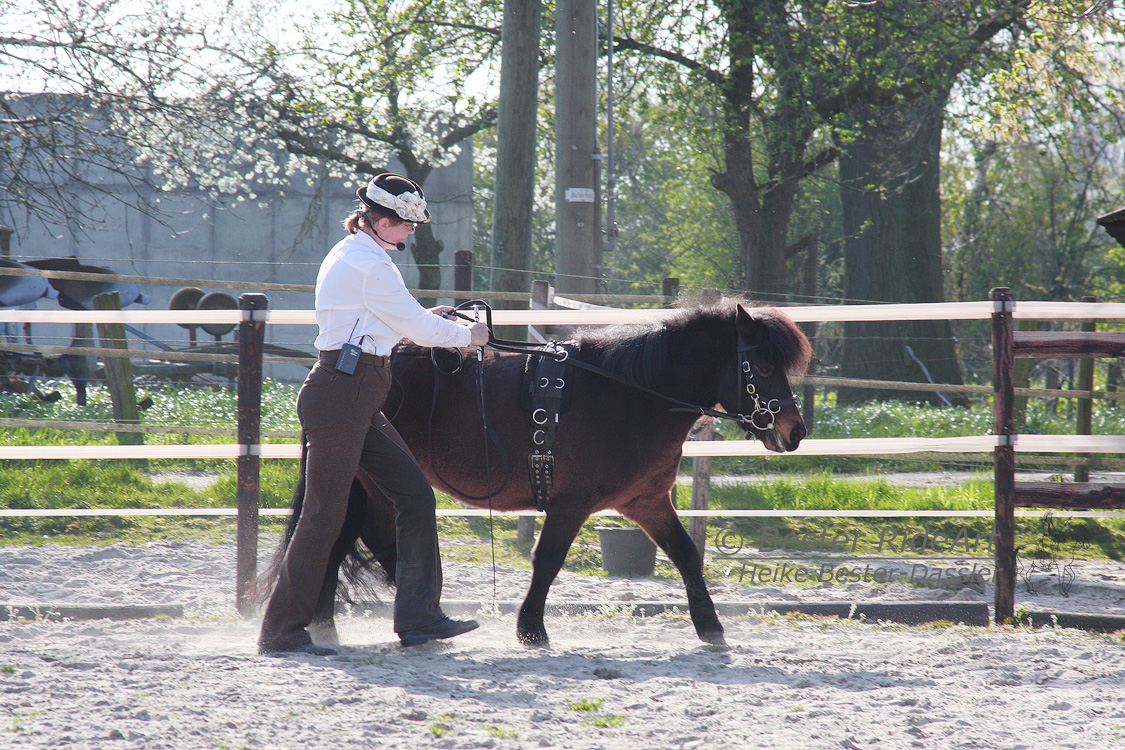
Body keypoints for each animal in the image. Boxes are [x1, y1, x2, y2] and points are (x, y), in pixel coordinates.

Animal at [263, 299, 810, 647]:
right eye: (761, 365)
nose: (795, 431)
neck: (629, 393)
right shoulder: (571, 503)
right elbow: (546, 560)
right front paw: (531, 629)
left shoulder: (647, 501)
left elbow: (687, 556)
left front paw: (711, 627)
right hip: (363, 477)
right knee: (342, 537)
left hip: (372, 480)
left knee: (353, 537)